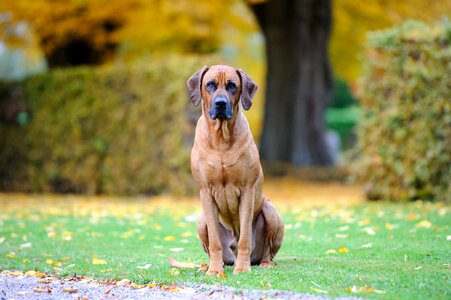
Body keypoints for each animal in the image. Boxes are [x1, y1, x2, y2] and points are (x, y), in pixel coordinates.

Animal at [186, 65, 282, 274]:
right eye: (210, 84)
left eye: (232, 85)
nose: (221, 104)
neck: (221, 138)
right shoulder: (206, 192)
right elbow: (214, 241)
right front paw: (214, 270)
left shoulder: (247, 190)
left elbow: (245, 236)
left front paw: (243, 268)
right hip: (201, 221)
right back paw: (213, 264)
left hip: (270, 211)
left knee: (268, 251)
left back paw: (263, 263)